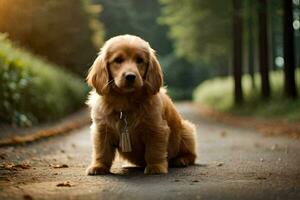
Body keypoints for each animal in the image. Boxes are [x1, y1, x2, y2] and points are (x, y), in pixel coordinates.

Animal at [85, 34, 197, 175]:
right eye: (118, 60)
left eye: (140, 60)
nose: (130, 76)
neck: (126, 101)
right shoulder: (102, 129)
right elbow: (102, 150)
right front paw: (98, 166)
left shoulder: (156, 129)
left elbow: (154, 151)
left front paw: (155, 167)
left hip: (187, 130)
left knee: (192, 155)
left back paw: (181, 160)